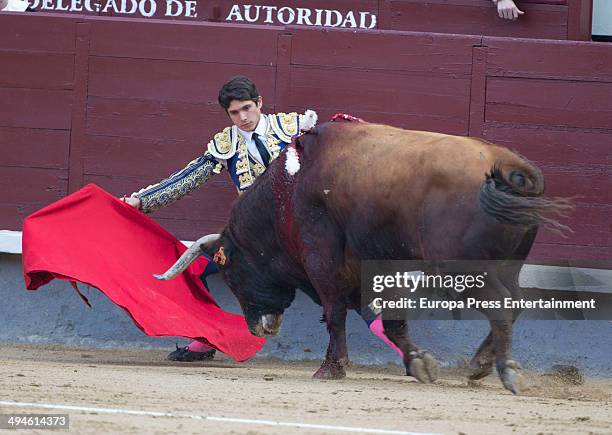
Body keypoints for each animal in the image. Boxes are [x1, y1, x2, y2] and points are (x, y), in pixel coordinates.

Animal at [155, 120, 572, 396]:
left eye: (233, 274)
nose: (258, 328)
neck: (288, 190)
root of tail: (511, 167)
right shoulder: (377, 266)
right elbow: (388, 319)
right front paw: (418, 362)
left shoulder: (323, 261)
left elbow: (335, 313)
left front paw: (331, 367)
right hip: (508, 265)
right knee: (514, 303)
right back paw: (480, 366)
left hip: (461, 270)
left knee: (501, 306)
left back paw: (507, 370)